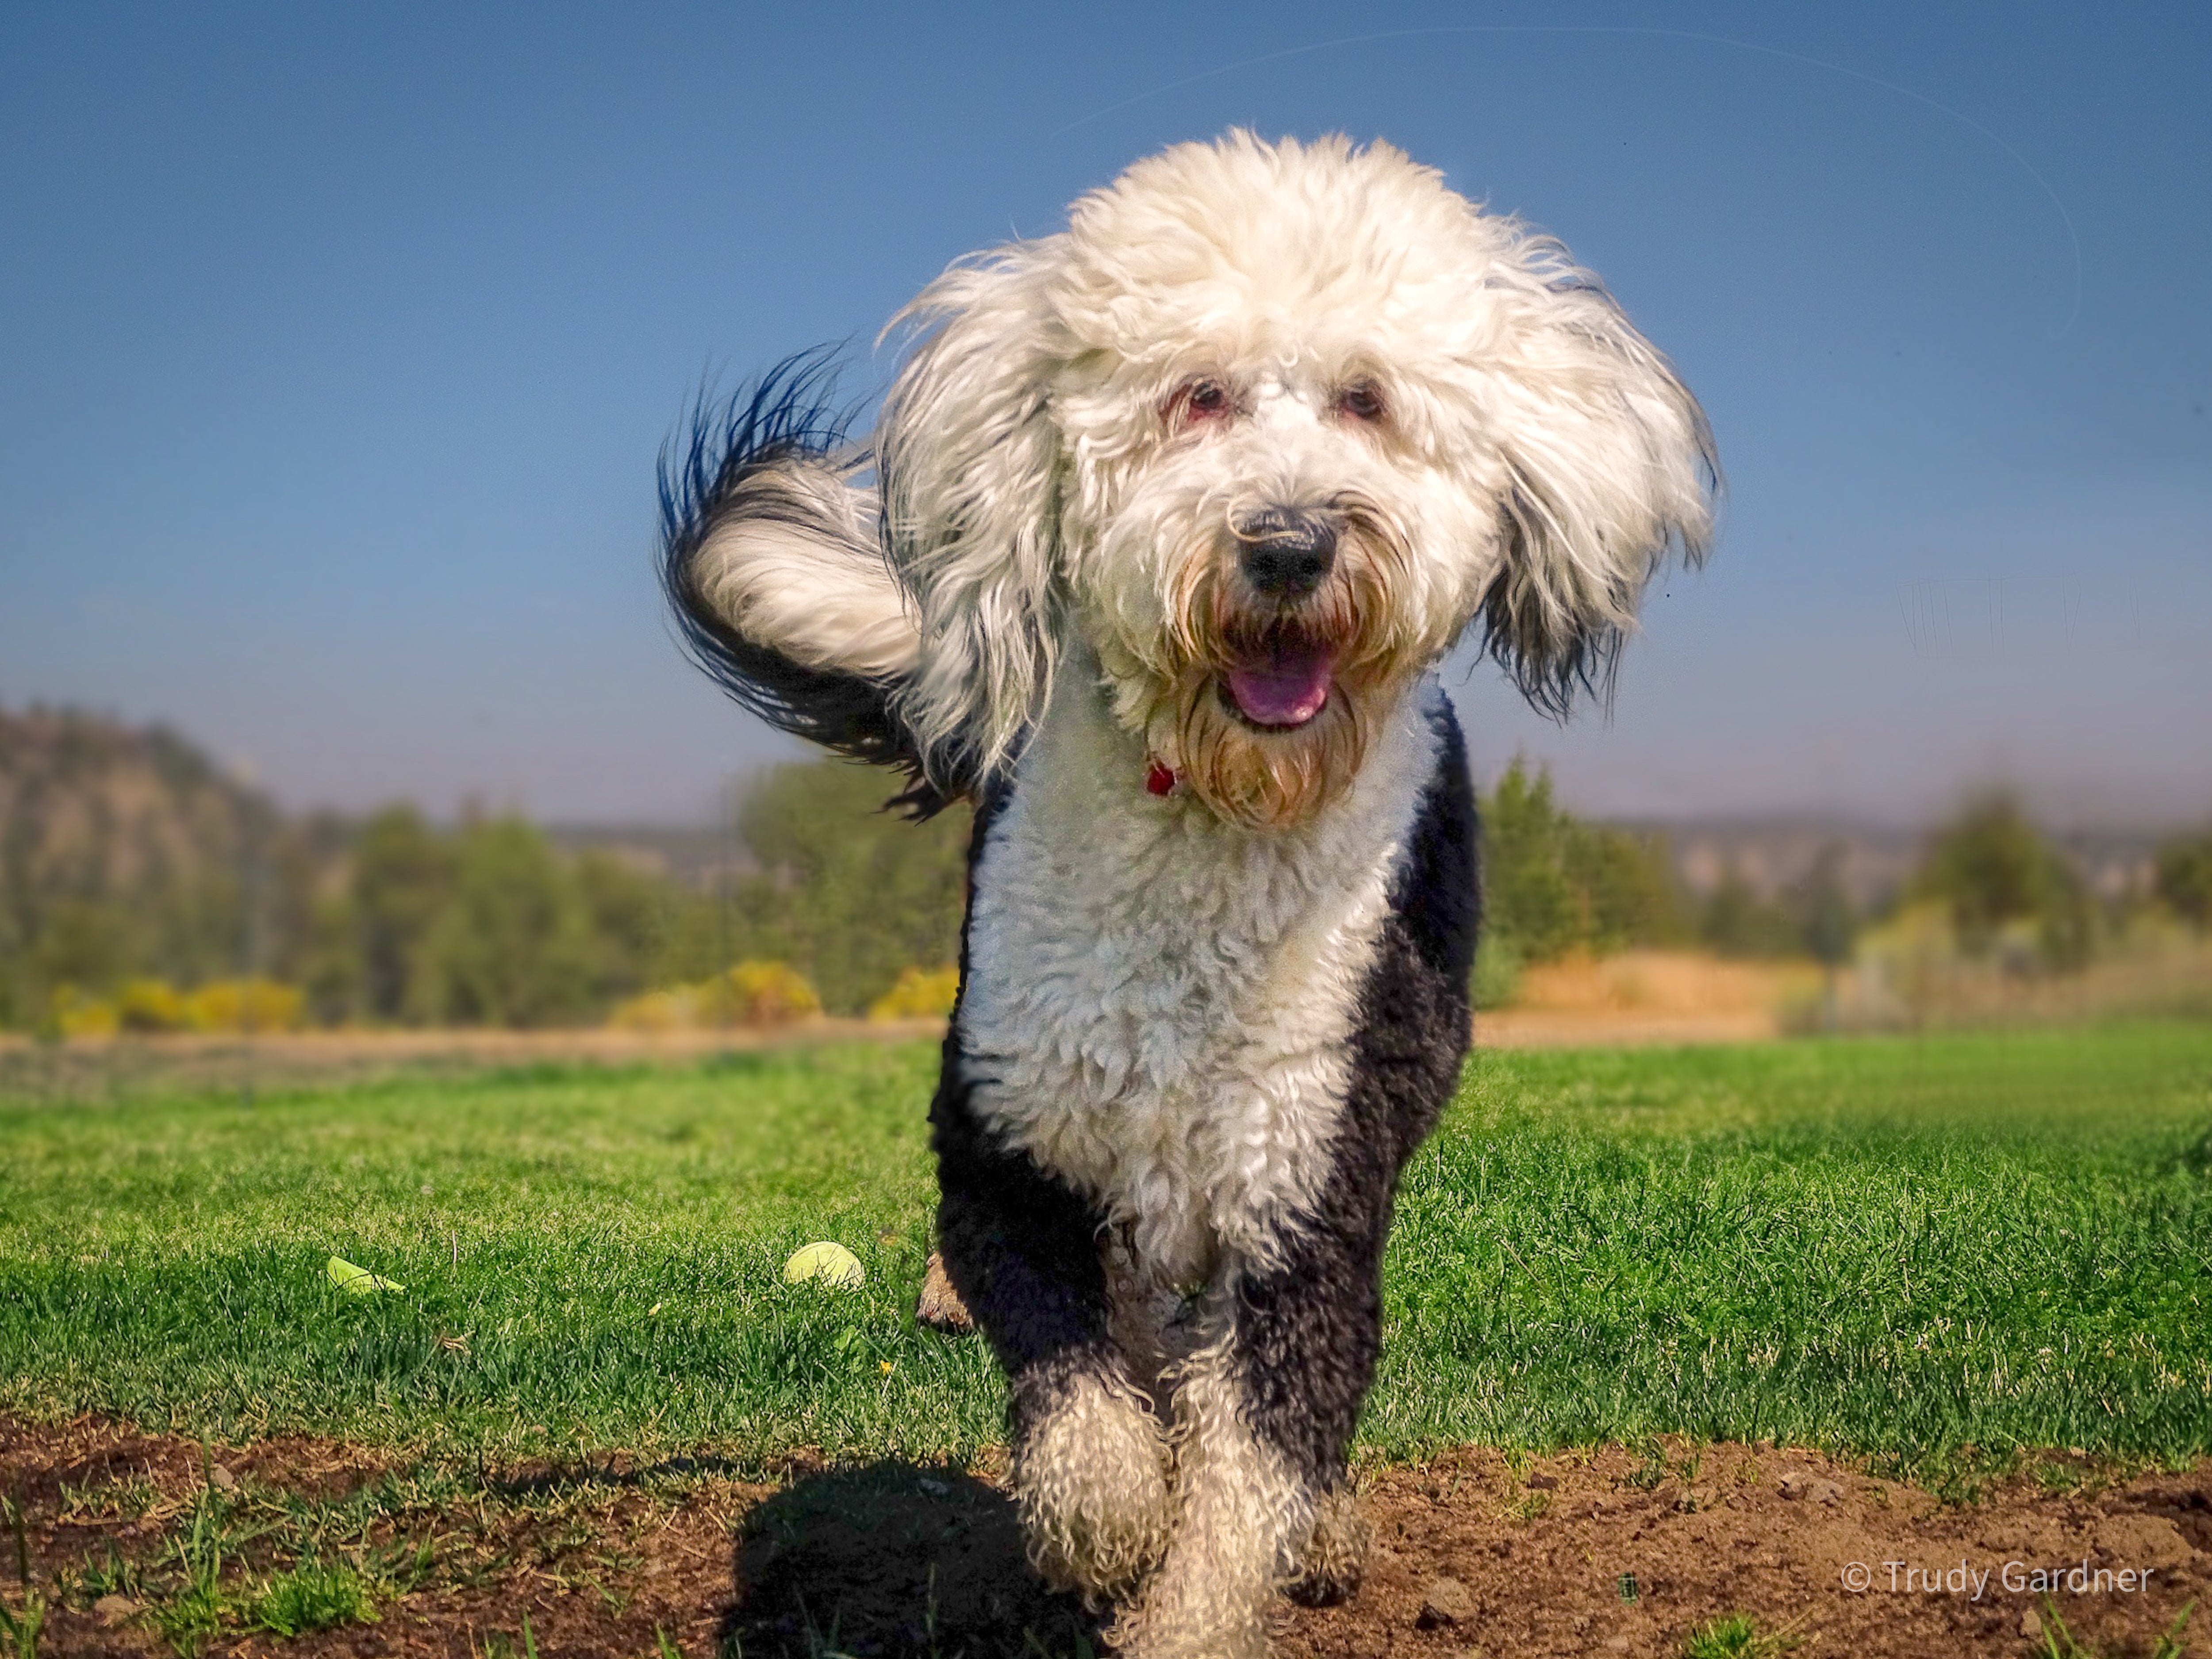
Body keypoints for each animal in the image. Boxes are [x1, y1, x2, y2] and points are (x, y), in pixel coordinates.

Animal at [655, 133, 1708, 1659]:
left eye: (1367, 400)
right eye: (1195, 394)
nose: (1289, 542)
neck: (1212, 824)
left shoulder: (1303, 1197)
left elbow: (1249, 1460)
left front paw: (1202, 1577)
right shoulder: (1011, 1150)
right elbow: (1081, 1391)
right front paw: (1100, 1528)